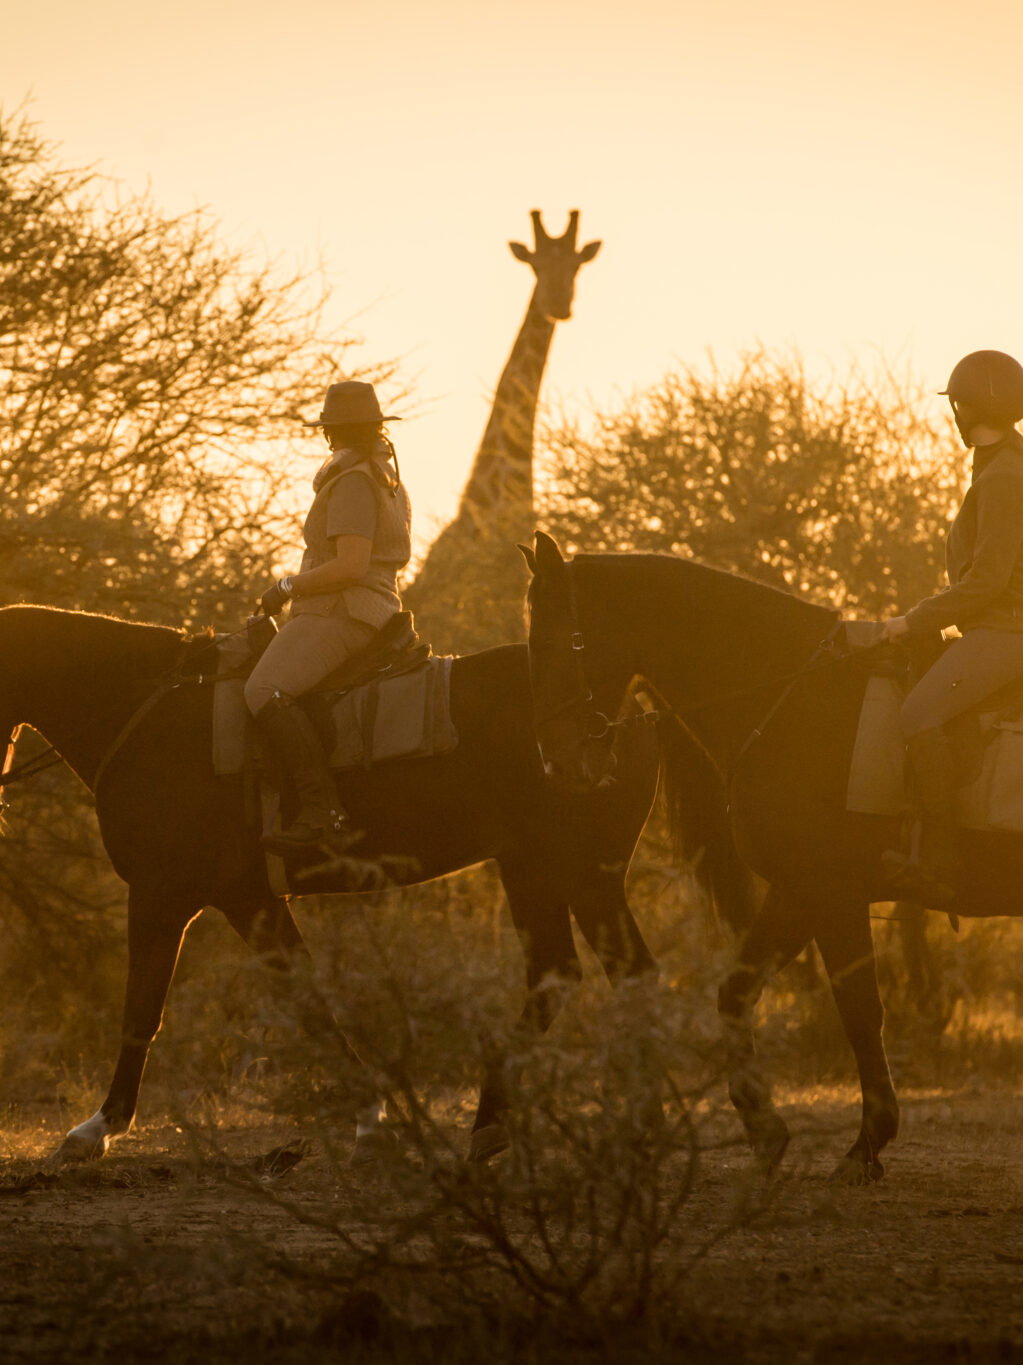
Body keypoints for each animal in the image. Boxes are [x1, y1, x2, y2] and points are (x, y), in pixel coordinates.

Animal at [0, 603, 748, 1164]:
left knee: (628, 975)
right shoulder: (250, 901)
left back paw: (632, 1125)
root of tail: (625, 705)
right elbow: (311, 1005)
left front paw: (96, 1128)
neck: (143, 709)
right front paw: (370, 1115)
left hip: (582, 870)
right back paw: (491, 1128)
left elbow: (141, 1012)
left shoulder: (164, 896)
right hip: (532, 867)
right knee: (558, 975)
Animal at [522, 531, 1023, 1184]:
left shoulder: (832, 895)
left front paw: (865, 1146)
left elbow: (860, 1013)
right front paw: (767, 1130)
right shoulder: (796, 895)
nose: (557, 764)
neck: (794, 697)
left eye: (555, 642)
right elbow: (736, 995)